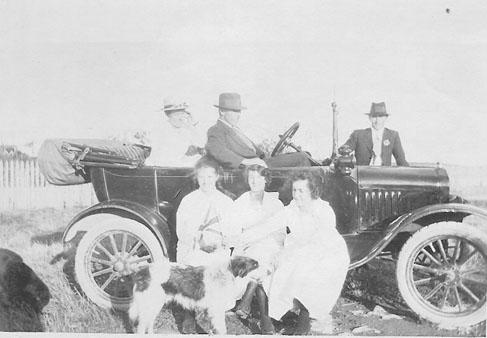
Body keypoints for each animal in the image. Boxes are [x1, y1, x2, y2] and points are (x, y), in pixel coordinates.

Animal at [130, 256, 260, 332]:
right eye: (255, 265)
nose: (267, 272)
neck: (228, 274)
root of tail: (143, 270)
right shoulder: (216, 311)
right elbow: (222, 330)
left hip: (154, 306)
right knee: (141, 327)